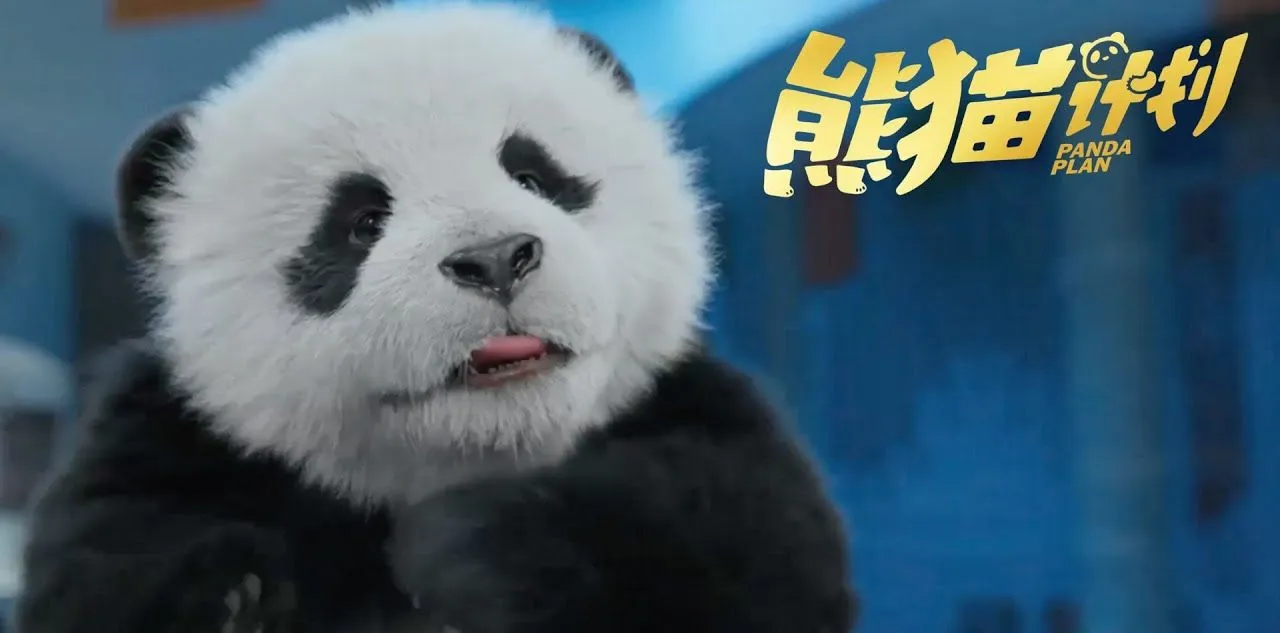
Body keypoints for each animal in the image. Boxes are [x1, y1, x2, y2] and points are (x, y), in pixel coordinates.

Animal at [15, 3, 856, 633]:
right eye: (361, 222)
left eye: (533, 175)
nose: (494, 258)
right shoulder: (171, 437)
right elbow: (107, 565)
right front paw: (236, 592)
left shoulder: (689, 405)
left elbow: (752, 551)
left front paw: (473, 550)